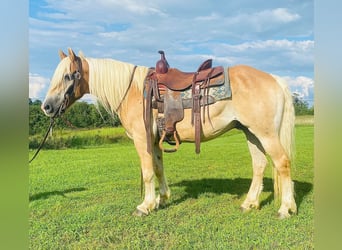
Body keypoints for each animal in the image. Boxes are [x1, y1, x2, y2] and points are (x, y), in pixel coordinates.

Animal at [41, 47, 296, 219]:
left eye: (67, 76)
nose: (47, 107)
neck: (133, 91)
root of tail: (274, 79)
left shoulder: (142, 139)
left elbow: (147, 173)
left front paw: (144, 206)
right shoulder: (155, 141)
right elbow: (158, 169)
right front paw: (161, 199)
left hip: (266, 135)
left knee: (282, 163)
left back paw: (285, 208)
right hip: (251, 133)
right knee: (259, 165)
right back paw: (249, 203)